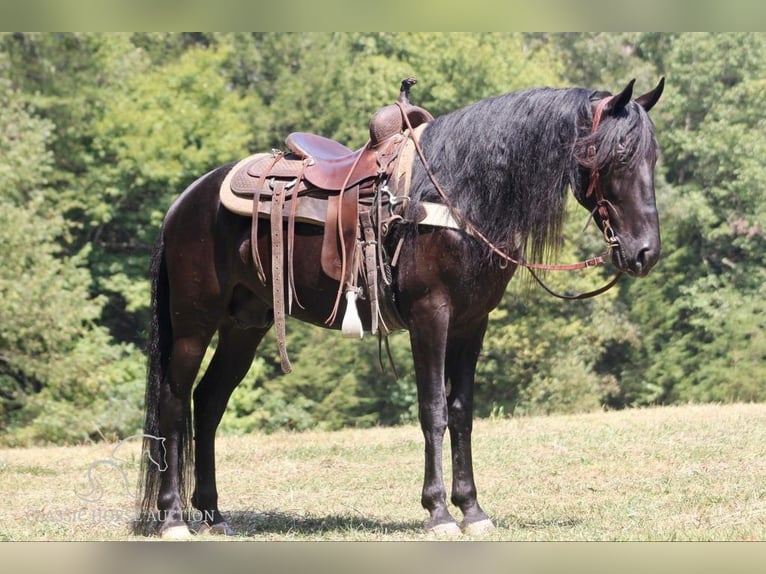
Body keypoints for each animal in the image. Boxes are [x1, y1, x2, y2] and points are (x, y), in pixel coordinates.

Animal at [138, 77, 664, 540]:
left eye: (653, 157)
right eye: (617, 154)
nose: (645, 252)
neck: (458, 194)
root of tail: (183, 203)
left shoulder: (473, 323)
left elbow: (461, 411)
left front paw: (472, 510)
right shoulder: (431, 316)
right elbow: (433, 410)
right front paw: (438, 513)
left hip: (245, 325)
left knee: (208, 403)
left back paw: (213, 514)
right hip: (194, 322)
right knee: (174, 402)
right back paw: (173, 519)